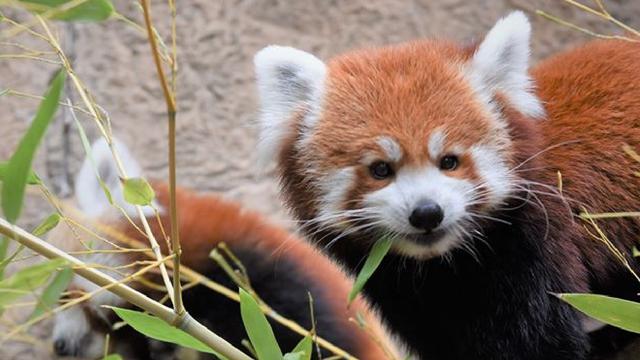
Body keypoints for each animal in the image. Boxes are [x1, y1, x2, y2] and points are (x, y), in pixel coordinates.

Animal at [252, 10, 640, 360]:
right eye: (380, 169)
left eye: (449, 161)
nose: (426, 213)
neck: (444, 268)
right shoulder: (406, 296)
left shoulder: (534, 251)